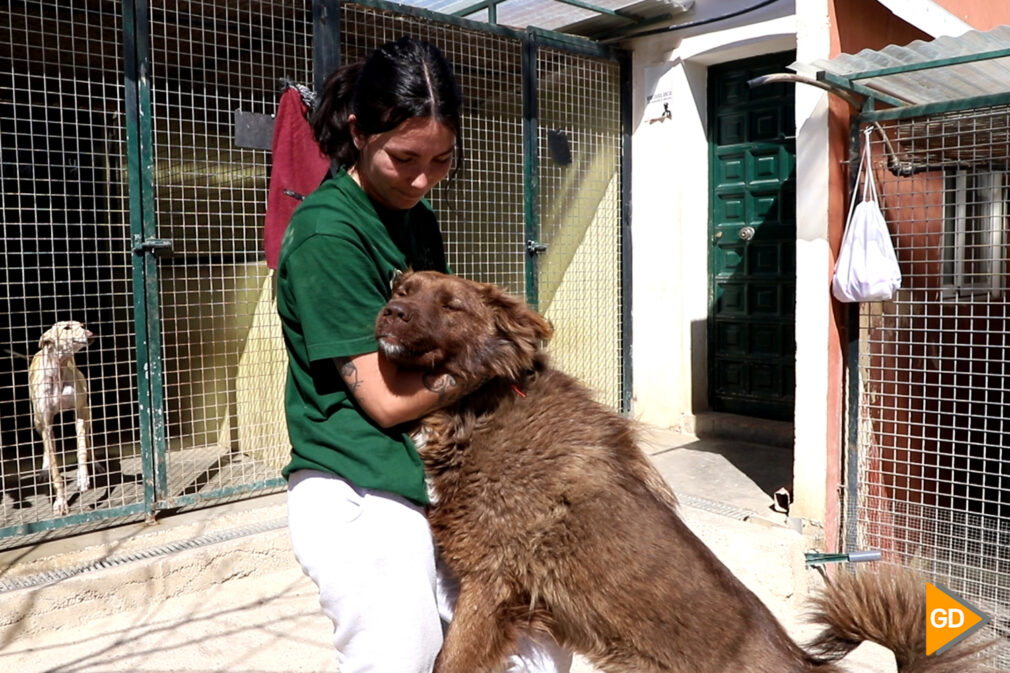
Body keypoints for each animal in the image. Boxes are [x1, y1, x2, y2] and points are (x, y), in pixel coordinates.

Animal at [30, 319, 96, 513]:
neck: (58, 370)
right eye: (66, 328)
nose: (90, 334)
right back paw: (44, 470)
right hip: (38, 421)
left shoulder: (80, 411)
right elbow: (55, 468)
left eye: (82, 325)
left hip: (87, 413)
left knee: (87, 439)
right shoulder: (45, 421)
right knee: (49, 444)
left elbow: (81, 449)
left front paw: (83, 477)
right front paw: (60, 502)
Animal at [375, 268, 989, 670]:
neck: (484, 402)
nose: (390, 312)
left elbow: (448, 660)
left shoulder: (492, 581)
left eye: (452, 305)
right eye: (402, 290)